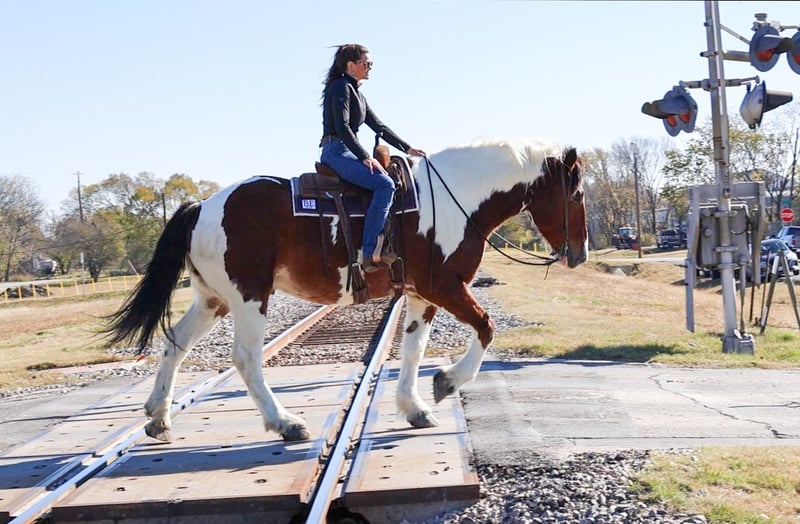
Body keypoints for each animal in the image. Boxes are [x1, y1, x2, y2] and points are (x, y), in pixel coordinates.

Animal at [104, 137, 588, 443]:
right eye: (578, 193)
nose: (580, 253)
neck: (457, 198)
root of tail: (203, 207)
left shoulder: (420, 294)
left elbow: (412, 349)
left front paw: (415, 407)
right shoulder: (445, 287)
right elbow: (486, 328)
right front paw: (447, 382)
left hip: (213, 300)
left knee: (175, 343)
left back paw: (159, 417)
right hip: (248, 297)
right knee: (245, 358)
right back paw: (286, 423)